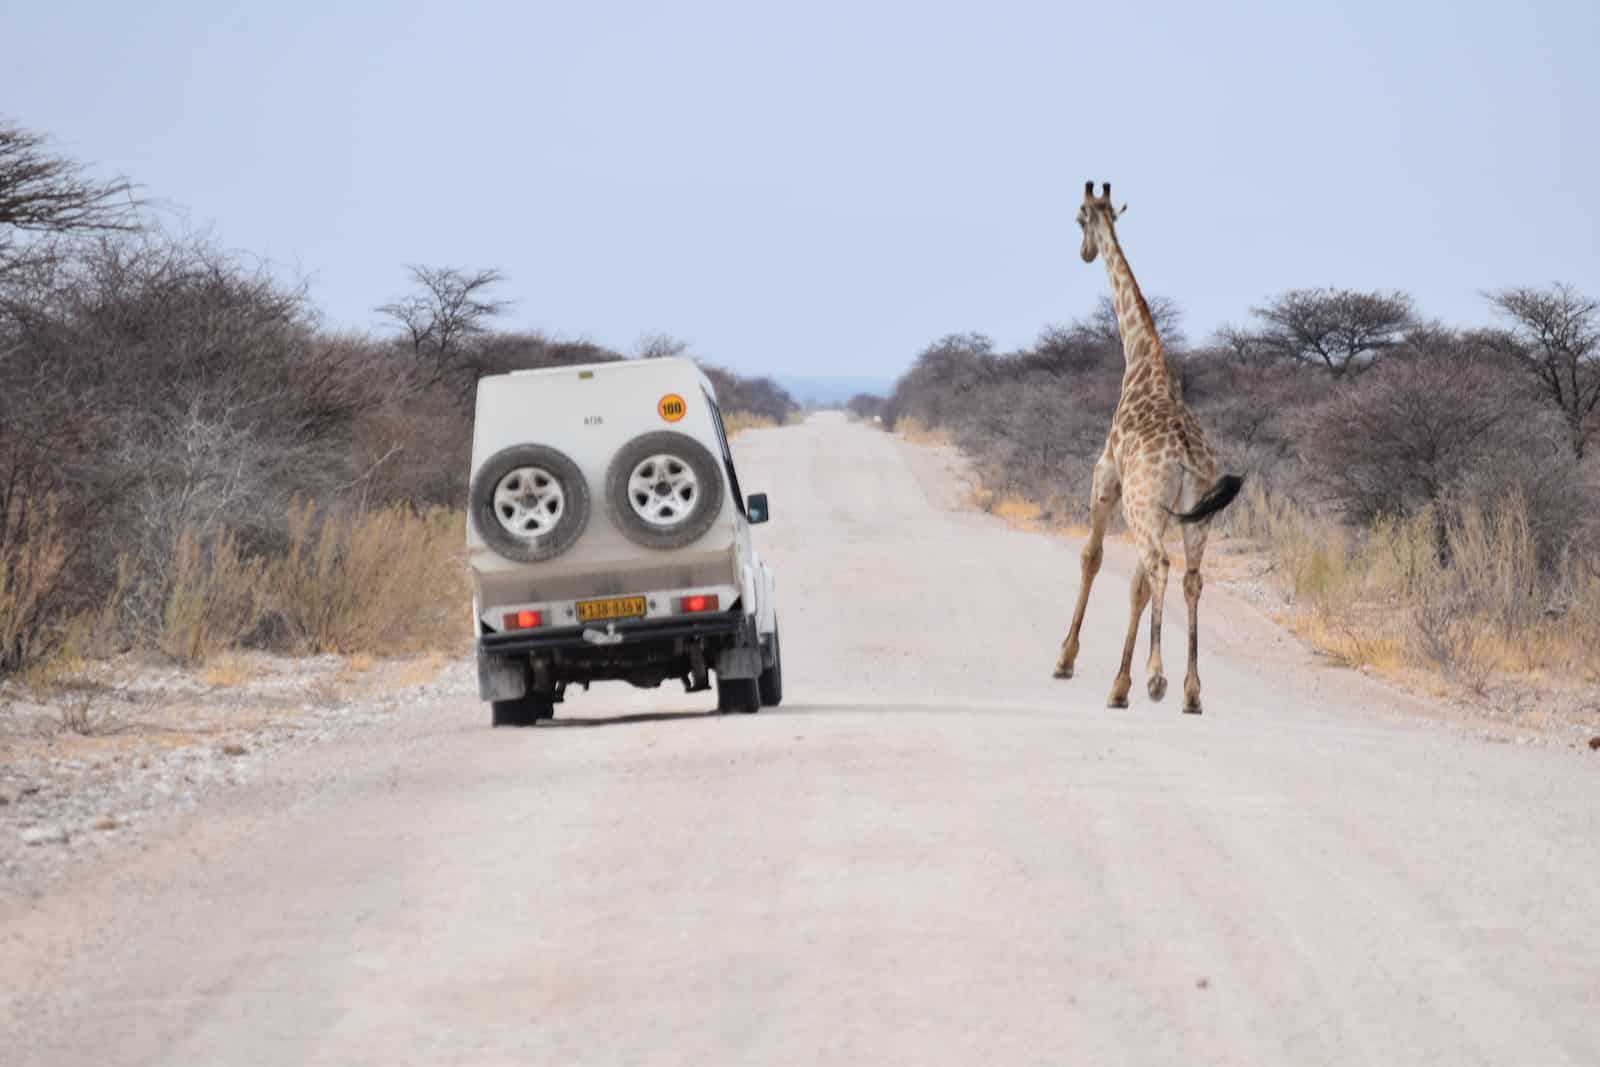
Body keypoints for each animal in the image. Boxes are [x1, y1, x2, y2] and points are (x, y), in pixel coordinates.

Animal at [1056, 181, 1241, 716]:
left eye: (1079, 218)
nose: (1084, 253)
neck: (1141, 360)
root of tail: (1185, 458)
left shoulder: (1106, 477)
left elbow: (1092, 557)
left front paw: (1068, 660)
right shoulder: (1158, 511)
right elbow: (1136, 587)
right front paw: (1121, 682)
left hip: (1143, 506)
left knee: (1160, 565)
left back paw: (1158, 679)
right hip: (1196, 516)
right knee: (1191, 577)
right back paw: (1191, 691)